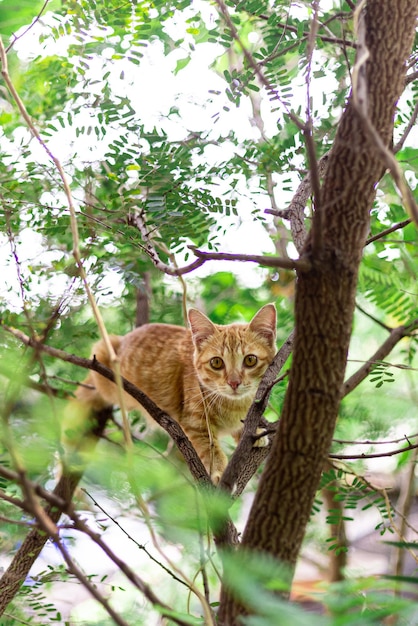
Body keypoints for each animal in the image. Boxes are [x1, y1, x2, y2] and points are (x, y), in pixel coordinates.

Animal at [70, 304, 276, 480]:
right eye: (216, 362)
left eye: (250, 360)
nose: (234, 382)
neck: (234, 405)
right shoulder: (195, 424)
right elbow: (210, 449)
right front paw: (218, 471)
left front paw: (253, 432)